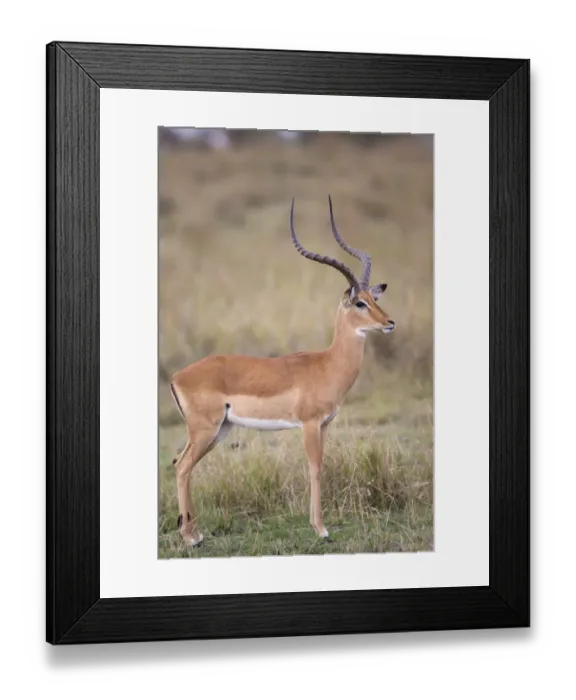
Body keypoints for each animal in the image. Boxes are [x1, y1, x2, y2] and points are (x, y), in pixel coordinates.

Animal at [170, 196, 396, 546]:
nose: (389, 323)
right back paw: (191, 538)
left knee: (182, 465)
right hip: (205, 430)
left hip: (219, 430)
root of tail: (177, 376)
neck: (327, 364)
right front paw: (321, 529)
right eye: (359, 302)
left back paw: (196, 533)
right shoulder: (309, 424)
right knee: (181, 467)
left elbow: (321, 466)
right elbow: (315, 468)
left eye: (373, 297)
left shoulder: (325, 425)